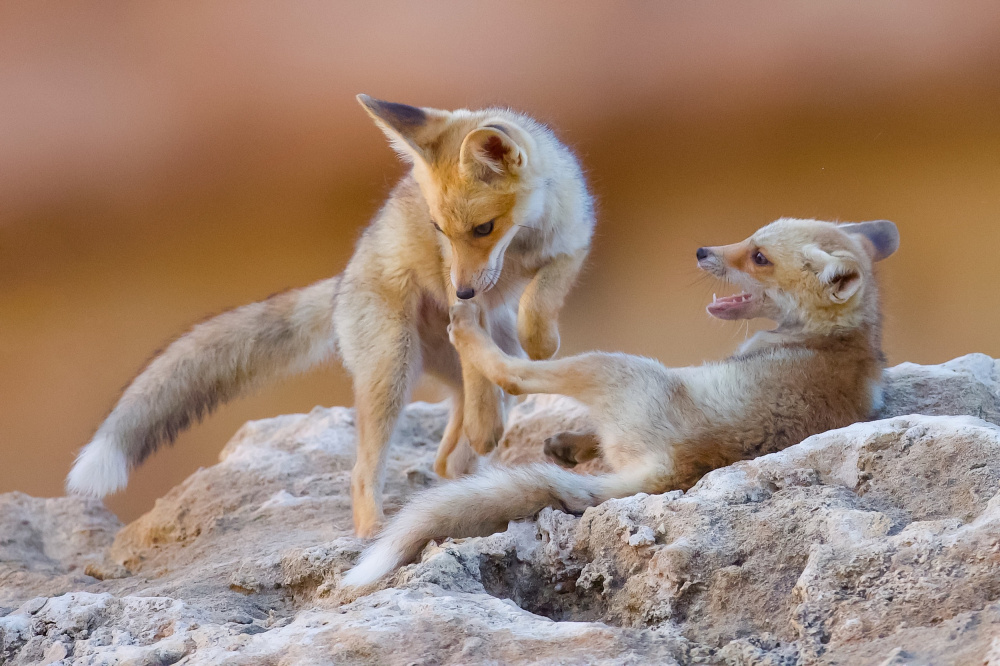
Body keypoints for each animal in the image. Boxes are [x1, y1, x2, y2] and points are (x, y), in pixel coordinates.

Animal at [66, 95, 595, 537]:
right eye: (440, 229)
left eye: (484, 228)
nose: (462, 288)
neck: (520, 248)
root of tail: (342, 284)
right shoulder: (463, 290)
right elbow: (483, 360)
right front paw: (492, 413)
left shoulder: (572, 244)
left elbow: (541, 299)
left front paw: (542, 341)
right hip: (392, 368)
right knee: (369, 469)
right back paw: (377, 530)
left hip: (446, 358)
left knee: (453, 450)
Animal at [342, 217, 900, 587]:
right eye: (751, 237)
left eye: (760, 256)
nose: (701, 250)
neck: (841, 339)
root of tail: (672, 472)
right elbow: (590, 438)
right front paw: (570, 444)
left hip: (613, 364)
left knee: (518, 374)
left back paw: (470, 333)